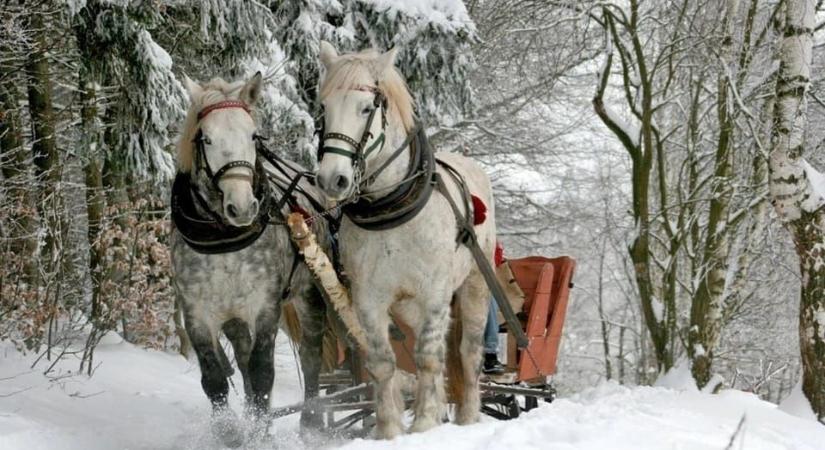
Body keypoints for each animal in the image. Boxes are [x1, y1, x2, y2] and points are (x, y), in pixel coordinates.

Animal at [316, 40, 496, 438]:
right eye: (323, 108)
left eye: (367, 107)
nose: (332, 179)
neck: (391, 209)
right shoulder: (369, 299)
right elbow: (383, 362)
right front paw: (389, 429)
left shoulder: (435, 294)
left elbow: (427, 357)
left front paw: (425, 423)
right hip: (407, 307)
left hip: (475, 284)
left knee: (467, 352)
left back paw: (467, 416)